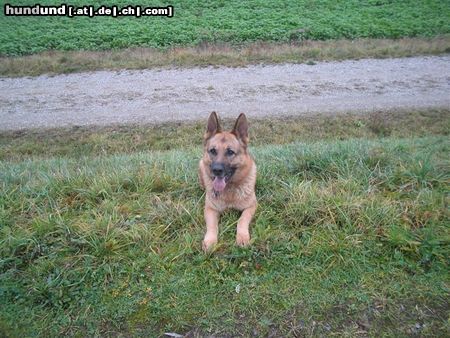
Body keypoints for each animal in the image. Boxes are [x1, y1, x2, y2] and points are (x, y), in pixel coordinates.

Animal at [200, 111, 258, 251]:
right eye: (213, 151)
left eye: (230, 152)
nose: (216, 170)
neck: (229, 190)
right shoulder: (210, 209)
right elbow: (212, 226)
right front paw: (210, 241)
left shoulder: (251, 206)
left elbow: (242, 220)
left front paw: (242, 237)